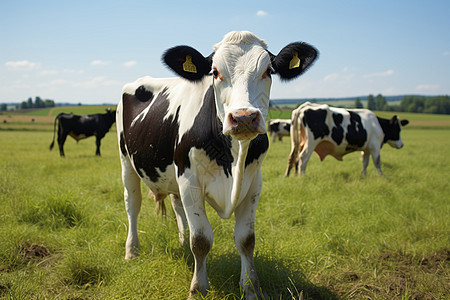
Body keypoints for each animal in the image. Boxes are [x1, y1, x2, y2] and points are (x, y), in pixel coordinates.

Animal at [118, 30, 318, 298]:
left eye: (268, 71)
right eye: (214, 71)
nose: (244, 117)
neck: (232, 156)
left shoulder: (254, 183)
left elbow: (246, 240)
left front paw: (251, 287)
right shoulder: (190, 181)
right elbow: (201, 239)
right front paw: (198, 289)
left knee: (176, 205)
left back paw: (181, 241)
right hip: (126, 162)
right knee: (133, 204)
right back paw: (132, 250)